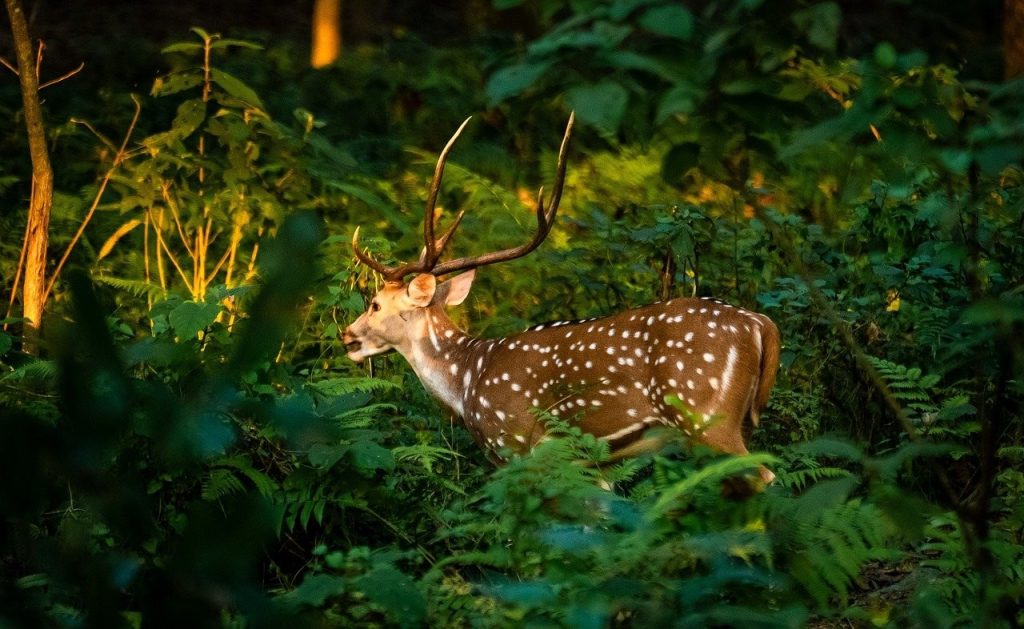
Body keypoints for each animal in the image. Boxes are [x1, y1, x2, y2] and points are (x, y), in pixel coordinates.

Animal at [342, 114, 781, 484]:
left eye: (376, 303)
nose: (347, 336)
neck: (466, 381)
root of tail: (761, 325)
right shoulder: (592, 465)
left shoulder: (517, 444)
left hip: (705, 413)